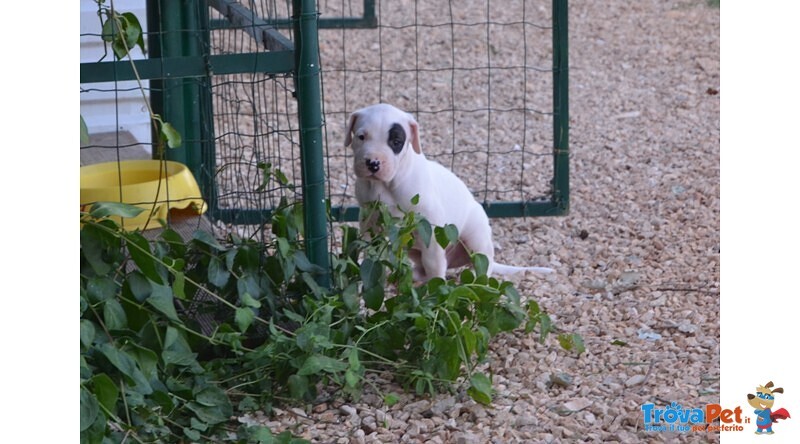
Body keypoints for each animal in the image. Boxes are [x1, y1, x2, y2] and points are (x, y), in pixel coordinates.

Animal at [344, 103, 552, 280]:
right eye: (361, 137)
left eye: (396, 141)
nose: (373, 163)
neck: (386, 184)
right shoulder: (369, 219)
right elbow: (371, 250)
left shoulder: (429, 226)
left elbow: (433, 263)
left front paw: (436, 289)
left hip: (476, 235)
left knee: (483, 262)